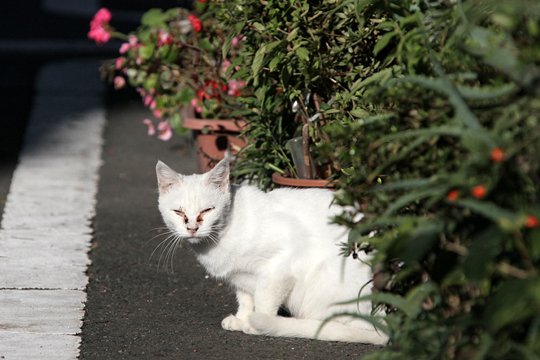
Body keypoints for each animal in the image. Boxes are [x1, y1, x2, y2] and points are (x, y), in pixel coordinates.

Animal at [154, 159, 386, 344]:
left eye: (207, 210)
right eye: (179, 212)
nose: (192, 227)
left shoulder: (280, 267)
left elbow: (264, 301)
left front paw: (256, 323)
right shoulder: (241, 277)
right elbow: (246, 298)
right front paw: (241, 318)